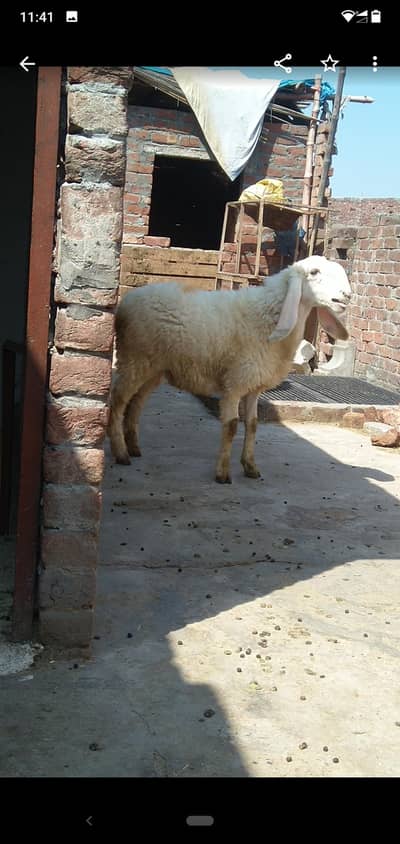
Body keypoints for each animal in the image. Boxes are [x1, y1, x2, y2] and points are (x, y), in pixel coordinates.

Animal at [108, 255, 351, 483]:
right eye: (314, 272)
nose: (347, 295)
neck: (269, 316)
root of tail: (127, 301)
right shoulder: (234, 383)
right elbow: (232, 426)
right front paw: (223, 473)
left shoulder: (254, 385)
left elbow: (252, 425)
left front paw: (250, 467)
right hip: (134, 359)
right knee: (118, 401)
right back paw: (120, 452)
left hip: (153, 369)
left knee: (136, 403)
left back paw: (134, 447)